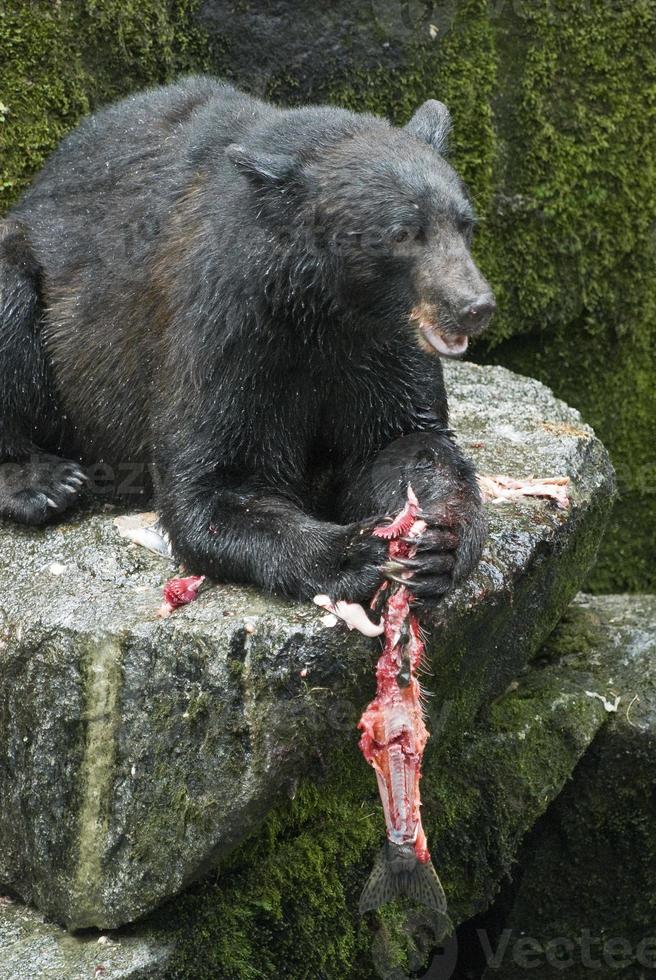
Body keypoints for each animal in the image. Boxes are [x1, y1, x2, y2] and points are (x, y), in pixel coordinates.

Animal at [0, 74, 492, 596]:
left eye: (465, 223)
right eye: (402, 233)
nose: (474, 306)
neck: (322, 308)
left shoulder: (380, 343)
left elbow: (404, 440)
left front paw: (439, 542)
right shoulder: (229, 326)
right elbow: (215, 480)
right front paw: (354, 551)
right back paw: (42, 481)